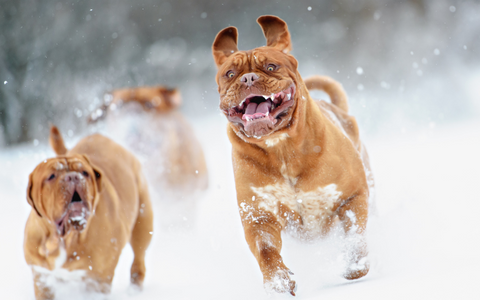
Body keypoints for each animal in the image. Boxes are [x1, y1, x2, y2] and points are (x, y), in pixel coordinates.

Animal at [24, 125, 153, 298]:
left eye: (85, 172)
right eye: (51, 176)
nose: (73, 176)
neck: (64, 238)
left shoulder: (99, 278)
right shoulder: (41, 276)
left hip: (143, 223)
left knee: (138, 261)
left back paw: (134, 290)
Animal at [213, 15, 376, 296]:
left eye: (271, 66)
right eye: (230, 74)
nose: (248, 79)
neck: (280, 149)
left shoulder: (351, 195)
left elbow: (355, 232)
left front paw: (355, 264)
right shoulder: (258, 215)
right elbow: (266, 250)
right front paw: (277, 280)